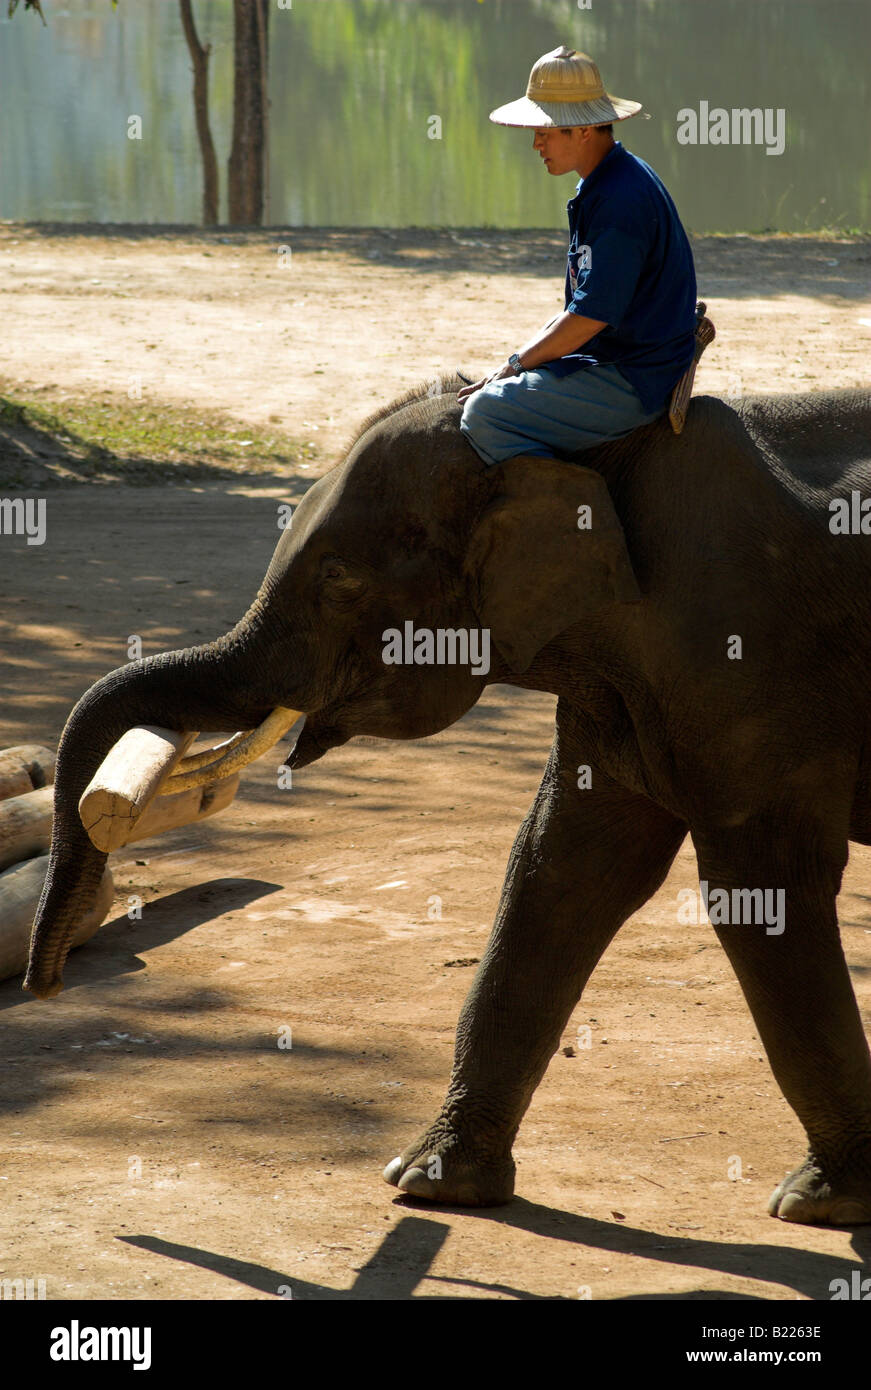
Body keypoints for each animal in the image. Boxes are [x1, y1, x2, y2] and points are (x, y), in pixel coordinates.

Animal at [23, 372, 871, 1228]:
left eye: (337, 580)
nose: (43, 986)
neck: (597, 457)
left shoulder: (744, 657)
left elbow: (758, 891)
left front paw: (822, 1202)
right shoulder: (619, 694)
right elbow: (560, 874)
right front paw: (430, 1183)